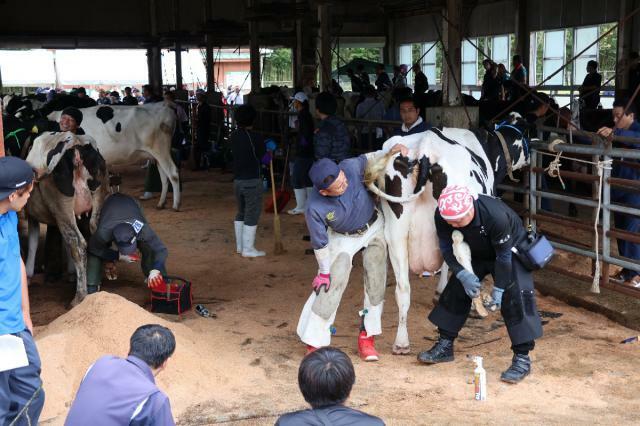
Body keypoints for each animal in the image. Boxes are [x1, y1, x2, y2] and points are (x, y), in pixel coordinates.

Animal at [364, 125, 528, 354]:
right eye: (521, 140)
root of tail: (425, 148)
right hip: (452, 220)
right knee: (461, 252)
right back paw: (478, 303)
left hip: (396, 229)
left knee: (402, 287)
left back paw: (401, 342)